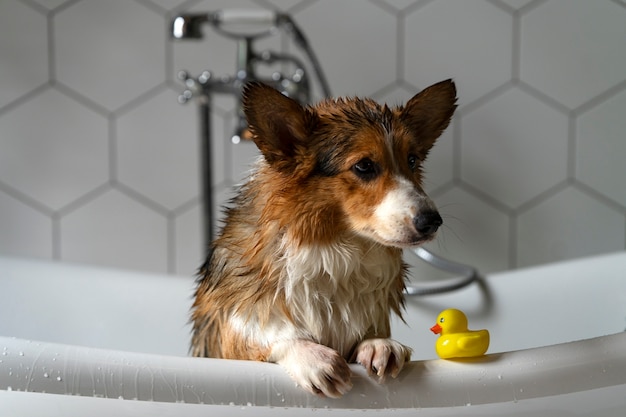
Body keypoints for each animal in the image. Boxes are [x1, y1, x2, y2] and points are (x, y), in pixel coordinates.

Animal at [188, 79, 456, 396]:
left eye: (412, 160)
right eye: (364, 166)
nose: (432, 221)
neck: (339, 251)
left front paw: (380, 344)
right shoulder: (228, 332)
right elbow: (262, 332)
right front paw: (311, 356)